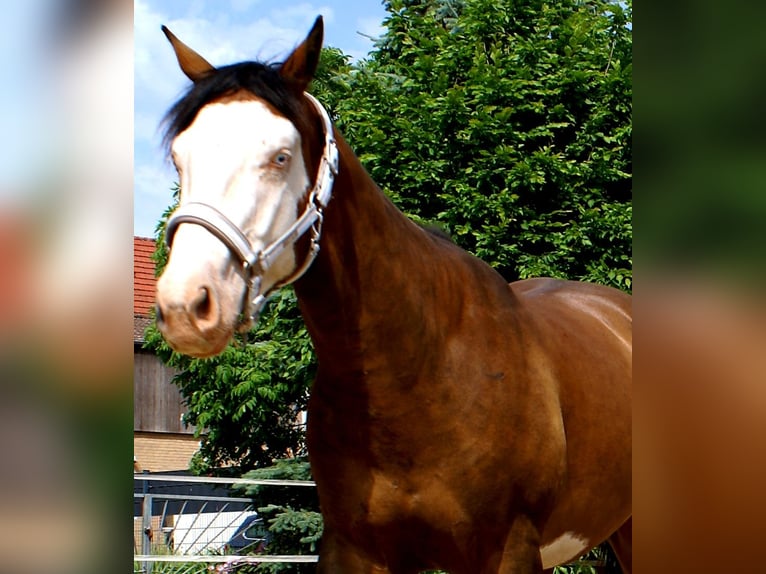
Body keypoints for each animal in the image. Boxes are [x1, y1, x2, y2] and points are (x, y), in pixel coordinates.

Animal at [155, 17, 632, 574]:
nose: (187, 304)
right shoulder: (354, 548)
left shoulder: (509, 550)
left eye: (280, 156)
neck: (417, 371)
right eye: (179, 157)